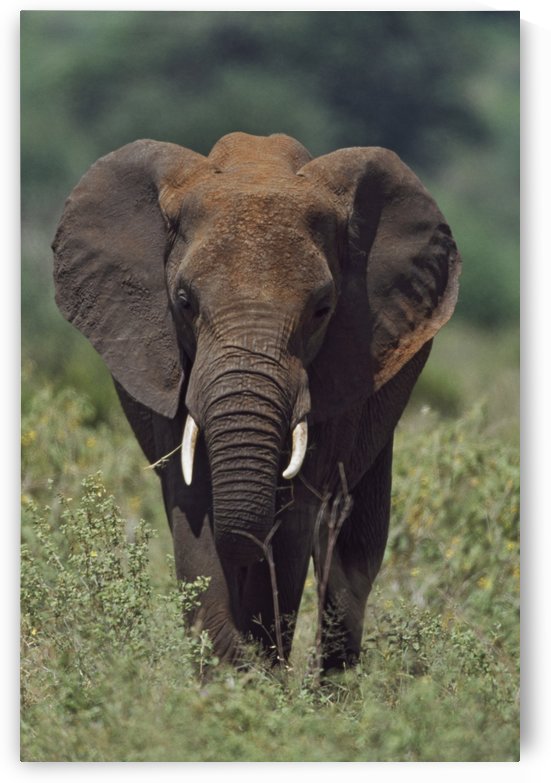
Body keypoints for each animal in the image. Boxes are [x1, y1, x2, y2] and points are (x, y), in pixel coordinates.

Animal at [52, 132, 460, 669]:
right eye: (183, 301)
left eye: (322, 310)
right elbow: (193, 507)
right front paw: (228, 677)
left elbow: (293, 520)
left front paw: (257, 676)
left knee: (349, 551)